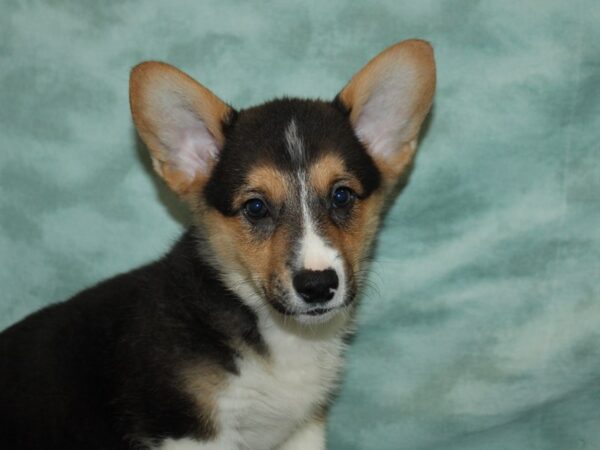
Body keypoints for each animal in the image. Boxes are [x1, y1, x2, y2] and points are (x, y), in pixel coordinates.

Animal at [0, 39, 434, 450]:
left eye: (342, 196)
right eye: (256, 207)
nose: (317, 286)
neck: (274, 329)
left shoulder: (302, 430)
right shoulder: (193, 434)